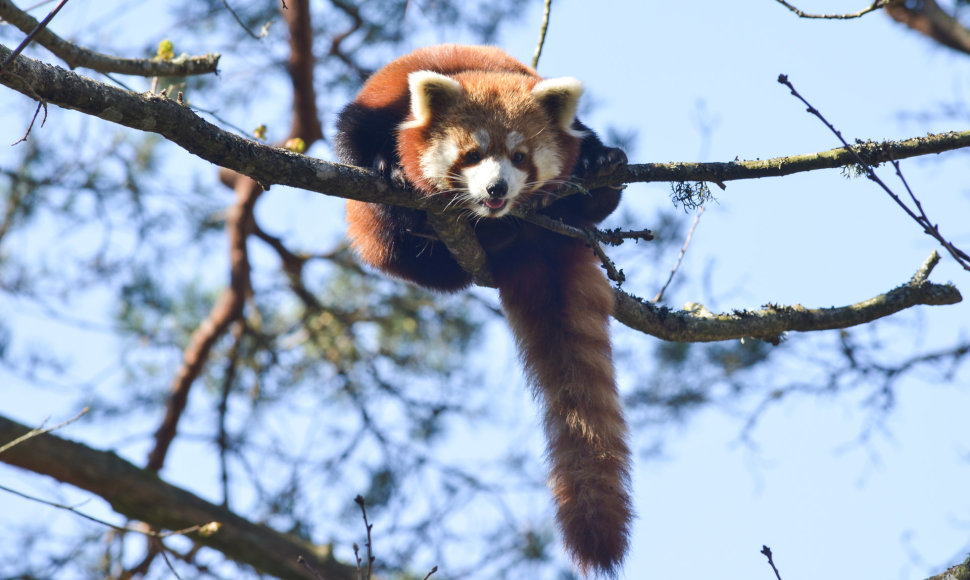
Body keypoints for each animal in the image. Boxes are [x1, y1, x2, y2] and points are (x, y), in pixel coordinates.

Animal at [336, 45, 632, 576]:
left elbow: (588, 143)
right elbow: (351, 137)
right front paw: (386, 167)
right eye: (471, 155)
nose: (497, 190)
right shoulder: (379, 107)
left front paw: (603, 159)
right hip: (377, 239)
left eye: (520, 158)